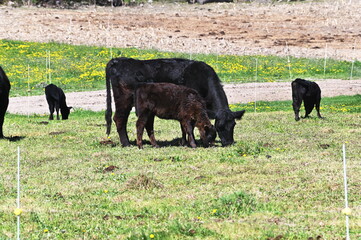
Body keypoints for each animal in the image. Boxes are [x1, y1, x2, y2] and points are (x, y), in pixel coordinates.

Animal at [105, 57, 245, 147]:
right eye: (219, 126)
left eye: (233, 125)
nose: (229, 143)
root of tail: (118, 60)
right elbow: (187, 126)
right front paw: (189, 142)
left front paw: (184, 142)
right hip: (124, 99)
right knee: (119, 119)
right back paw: (126, 144)